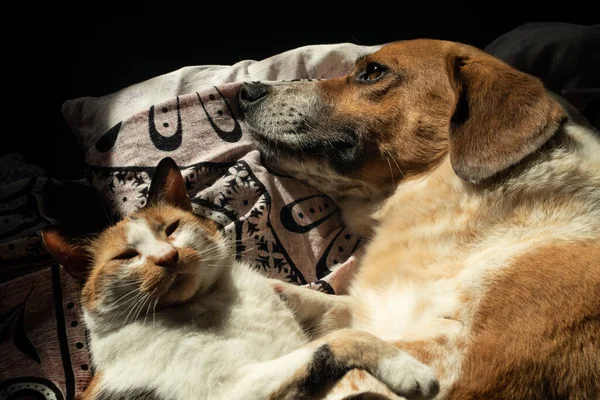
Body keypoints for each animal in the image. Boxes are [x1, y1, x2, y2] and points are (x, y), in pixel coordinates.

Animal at [41, 157, 436, 400]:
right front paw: (410, 371)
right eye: (126, 256)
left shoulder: (295, 301)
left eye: (171, 228)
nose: (168, 257)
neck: (213, 300)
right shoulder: (234, 389)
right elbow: (340, 340)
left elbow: (336, 307)